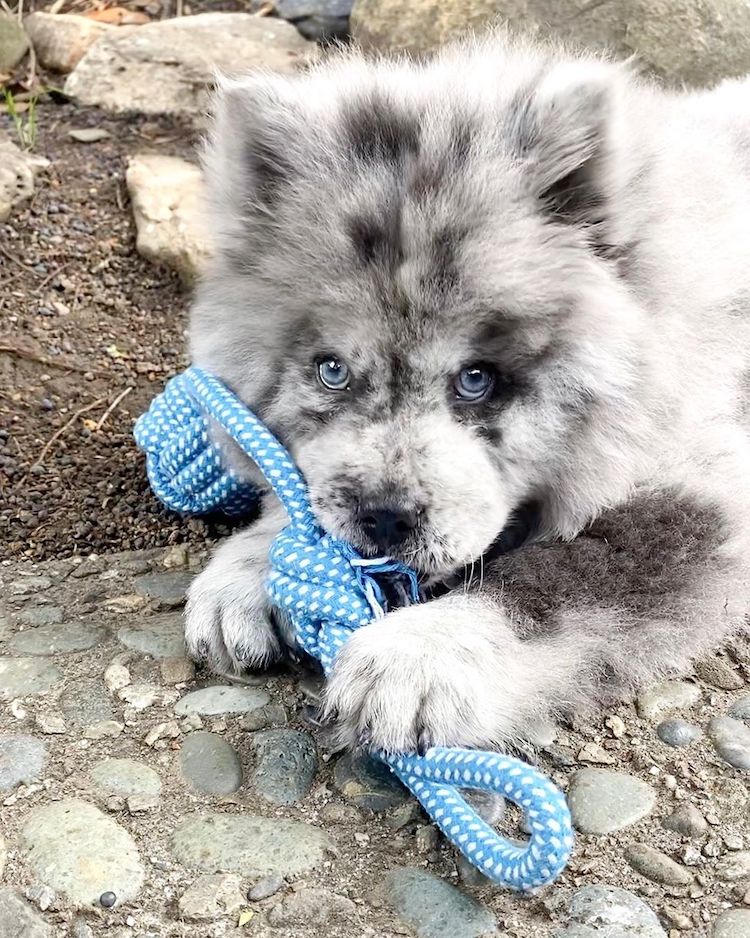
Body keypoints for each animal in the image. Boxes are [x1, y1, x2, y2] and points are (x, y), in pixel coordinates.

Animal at [184, 31, 750, 752]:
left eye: (476, 378)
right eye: (331, 370)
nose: (384, 518)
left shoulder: (702, 482)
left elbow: (565, 576)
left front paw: (421, 654)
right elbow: (301, 494)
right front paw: (247, 572)